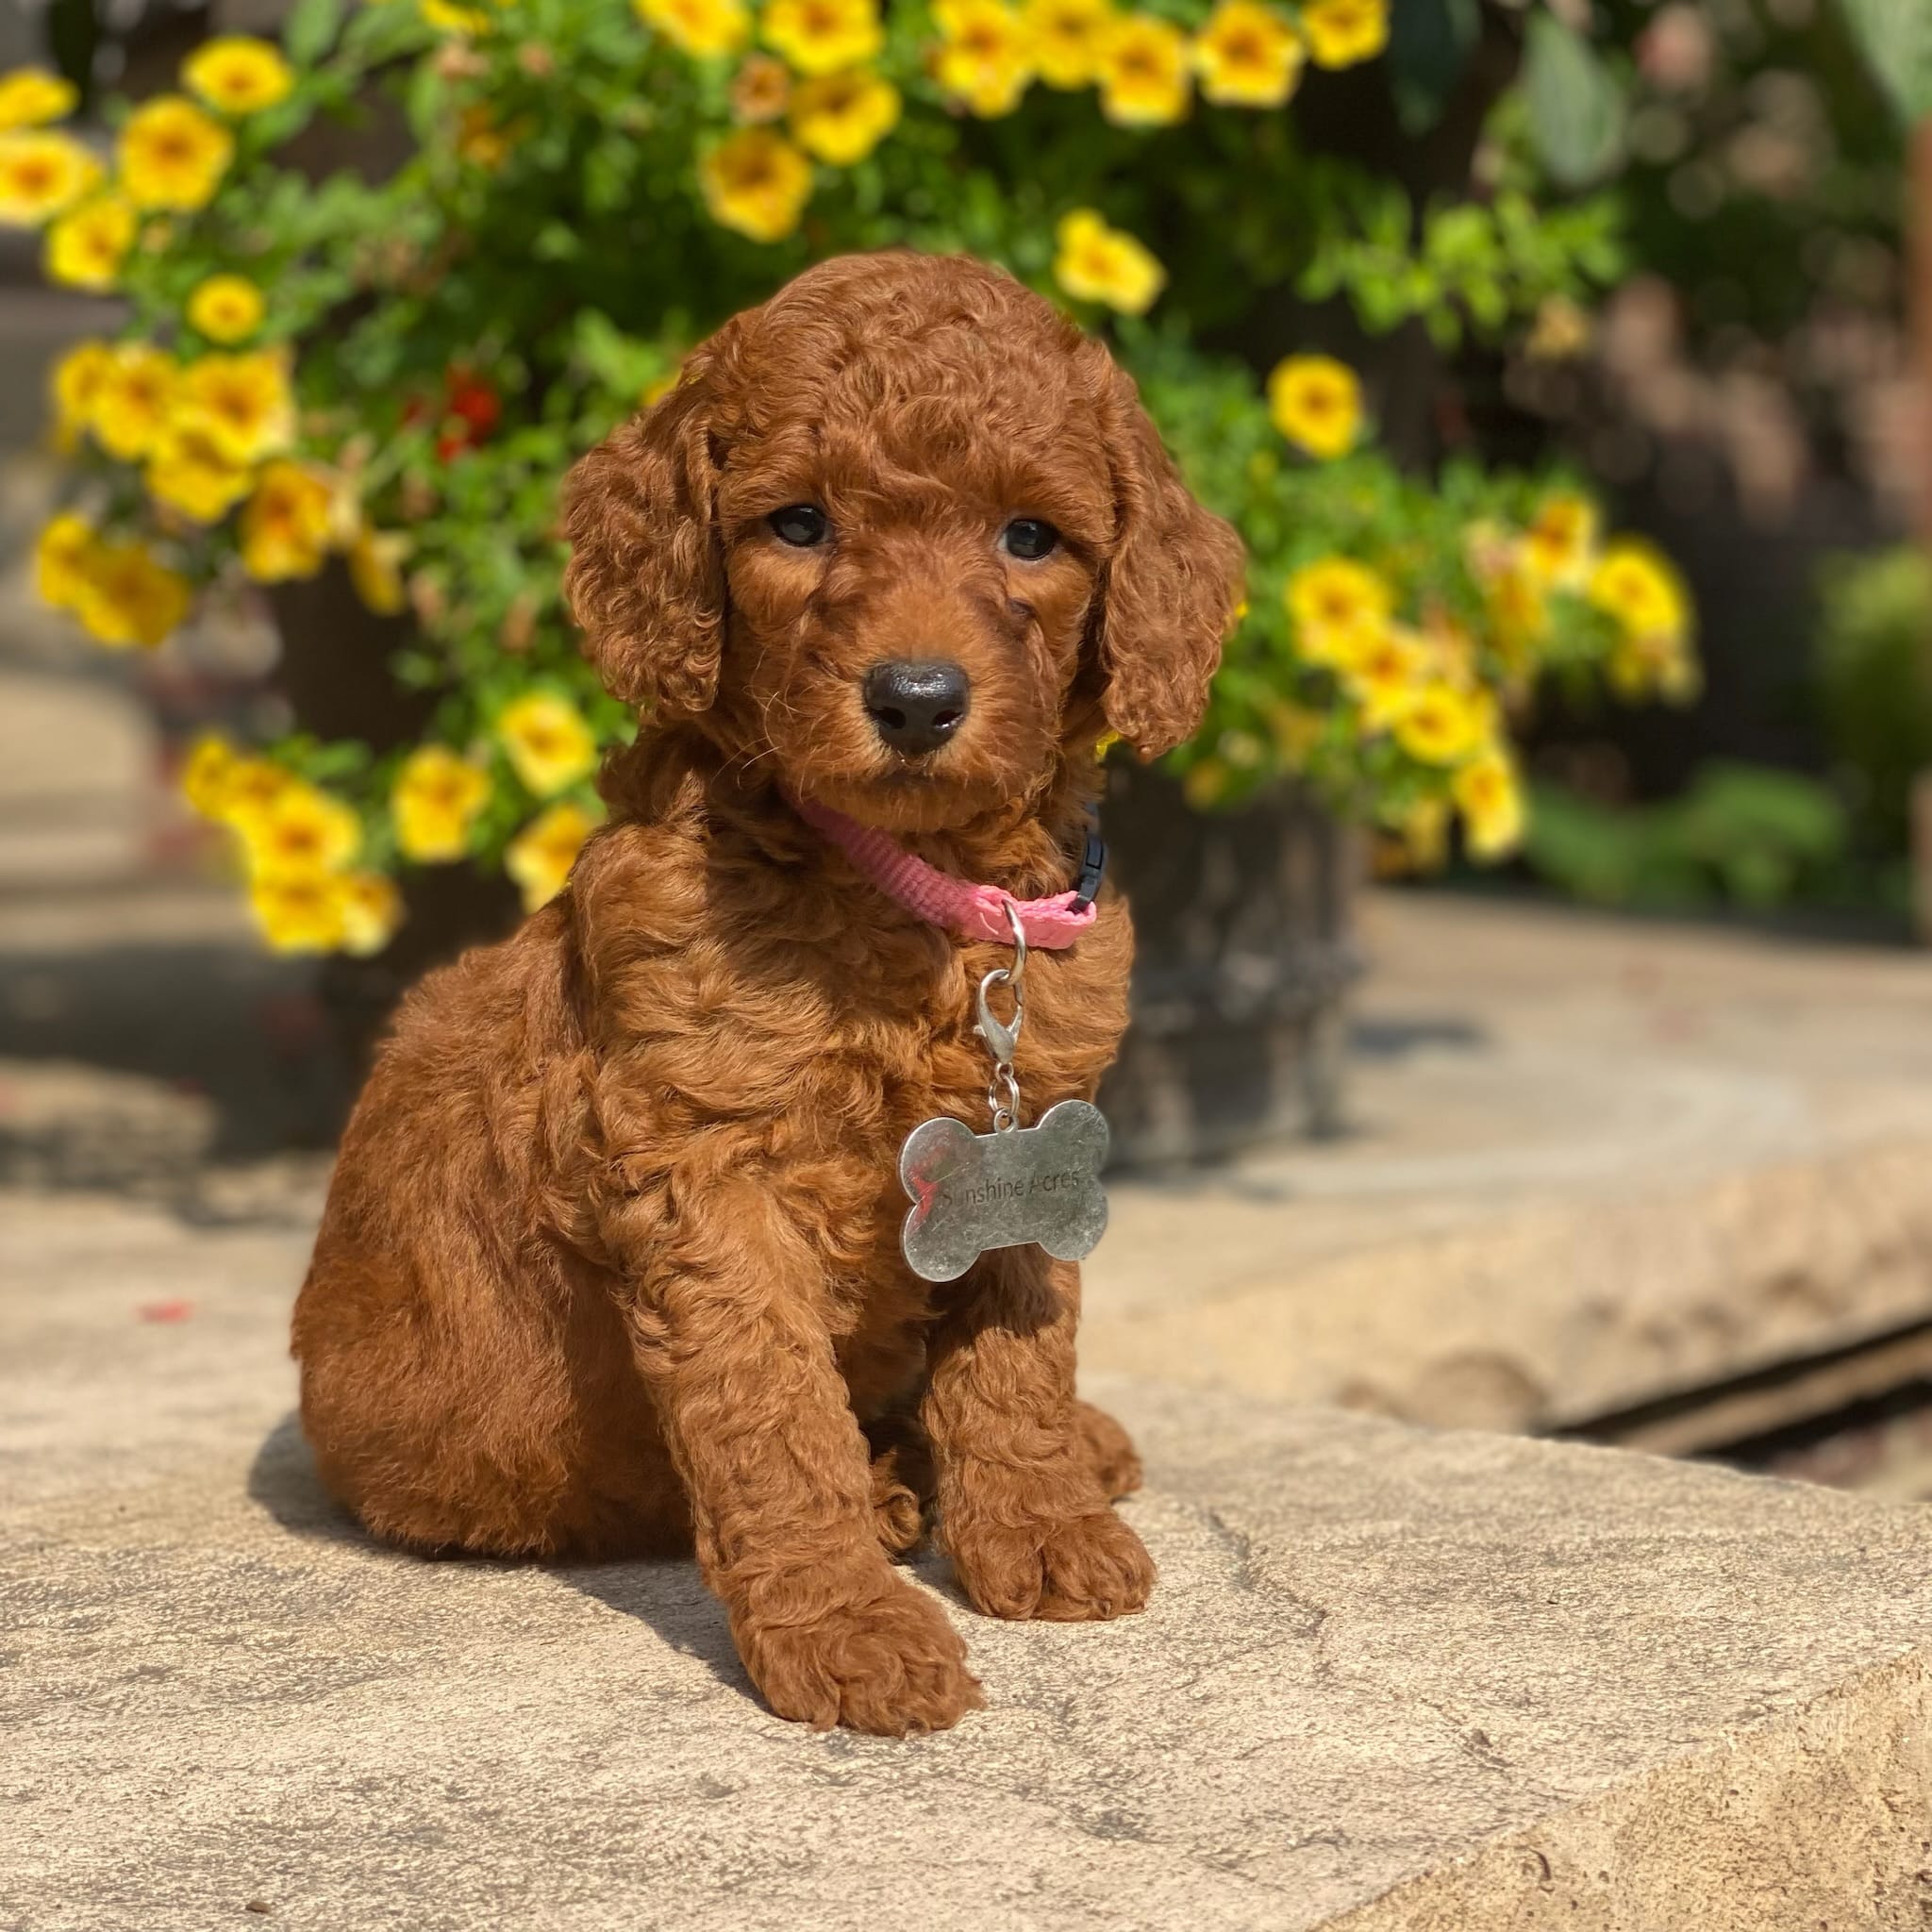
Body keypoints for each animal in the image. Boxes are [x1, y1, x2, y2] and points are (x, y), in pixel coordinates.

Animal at [293, 253, 1243, 1739]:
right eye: (798, 524)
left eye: (1030, 538)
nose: (915, 698)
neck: (916, 892)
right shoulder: (704, 1168)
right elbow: (771, 1416)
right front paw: (848, 1627)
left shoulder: (1037, 1134)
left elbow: (1019, 1349)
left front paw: (1039, 1524)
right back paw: (891, 1494)